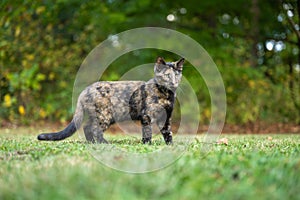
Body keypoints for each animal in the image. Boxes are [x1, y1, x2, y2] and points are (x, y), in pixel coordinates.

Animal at [37, 57, 183, 145]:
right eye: (167, 75)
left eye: (177, 75)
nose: (173, 82)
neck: (166, 94)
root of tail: (85, 90)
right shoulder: (147, 116)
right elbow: (147, 132)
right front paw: (147, 145)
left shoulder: (166, 118)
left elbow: (168, 133)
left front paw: (170, 146)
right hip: (105, 115)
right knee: (95, 129)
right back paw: (104, 143)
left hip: (99, 115)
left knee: (87, 126)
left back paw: (92, 143)